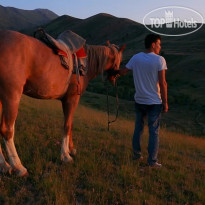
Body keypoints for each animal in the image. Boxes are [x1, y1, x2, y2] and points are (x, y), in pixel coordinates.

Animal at [0, 30, 125, 176]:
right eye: (120, 60)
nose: (114, 78)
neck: (88, 61)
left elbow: (70, 124)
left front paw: (71, 149)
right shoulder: (72, 99)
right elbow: (67, 125)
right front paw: (65, 155)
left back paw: (4, 165)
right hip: (11, 96)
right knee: (7, 129)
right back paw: (18, 166)